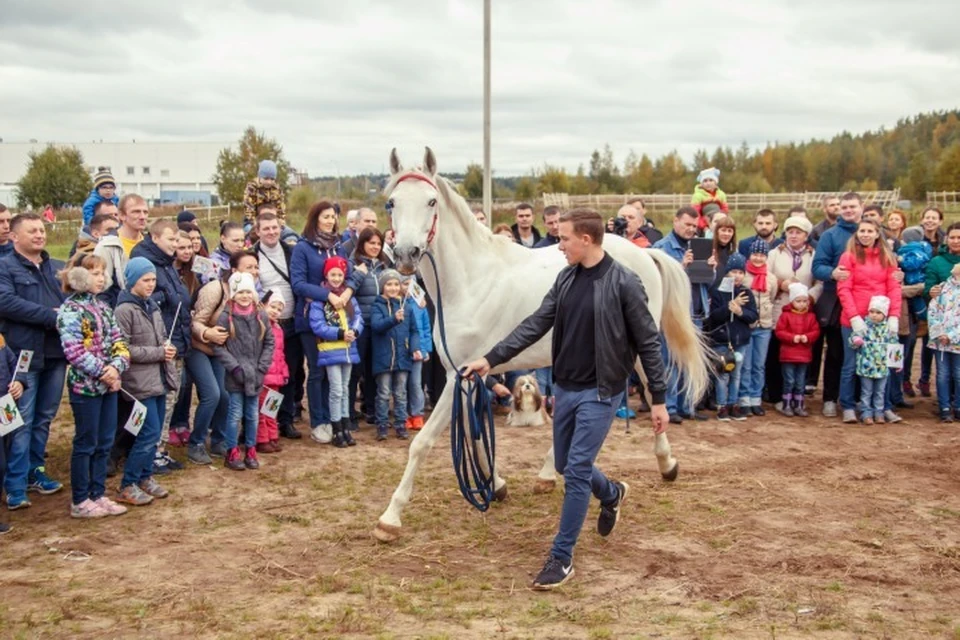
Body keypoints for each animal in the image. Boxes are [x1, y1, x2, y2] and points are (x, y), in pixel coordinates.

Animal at [372, 148, 708, 544]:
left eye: (431, 201)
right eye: (392, 202)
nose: (406, 255)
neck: (471, 281)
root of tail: (646, 254)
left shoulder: (456, 378)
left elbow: (422, 443)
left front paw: (390, 518)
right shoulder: (467, 374)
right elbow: (474, 434)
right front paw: (496, 486)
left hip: (641, 345)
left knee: (652, 393)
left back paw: (666, 464)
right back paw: (551, 474)